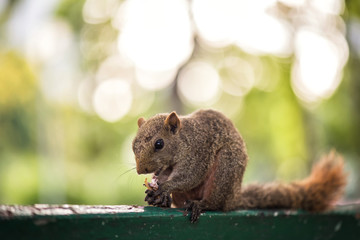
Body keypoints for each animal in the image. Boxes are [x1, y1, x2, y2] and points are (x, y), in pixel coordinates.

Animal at [131, 109, 346, 222]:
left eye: (159, 144)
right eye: (133, 145)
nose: (141, 170)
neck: (185, 139)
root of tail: (234, 197)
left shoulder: (198, 153)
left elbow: (190, 176)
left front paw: (164, 187)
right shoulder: (167, 167)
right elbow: (164, 174)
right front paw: (155, 190)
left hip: (226, 169)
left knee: (216, 204)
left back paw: (200, 204)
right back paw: (164, 202)